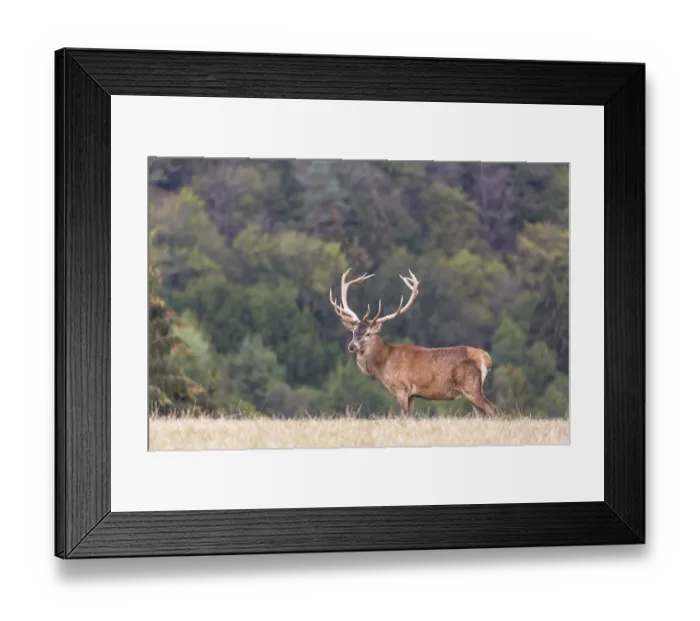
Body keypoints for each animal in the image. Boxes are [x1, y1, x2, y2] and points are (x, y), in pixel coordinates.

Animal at [329, 268, 501, 419]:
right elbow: (411, 417)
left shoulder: (401, 388)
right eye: (353, 332)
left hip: (471, 385)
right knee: (480, 414)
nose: (352, 346)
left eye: (368, 334)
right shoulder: (412, 394)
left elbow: (403, 416)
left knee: (493, 409)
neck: (383, 364)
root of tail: (484, 356)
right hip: (471, 390)